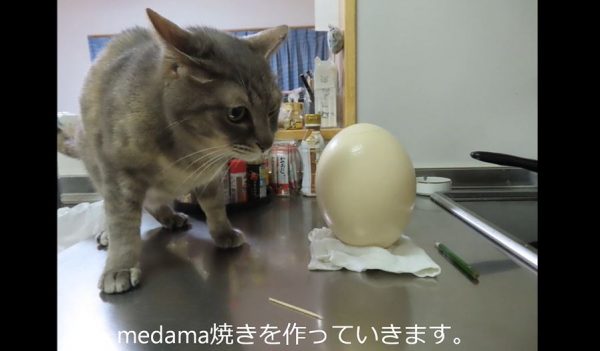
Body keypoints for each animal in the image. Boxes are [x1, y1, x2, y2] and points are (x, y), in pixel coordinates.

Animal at [57, 8, 288, 294]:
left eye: (272, 109)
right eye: (237, 113)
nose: (267, 143)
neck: (192, 152)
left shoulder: (210, 177)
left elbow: (215, 206)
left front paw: (223, 232)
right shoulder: (119, 177)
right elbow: (123, 224)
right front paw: (119, 266)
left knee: (153, 202)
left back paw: (170, 216)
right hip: (100, 173)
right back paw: (110, 233)